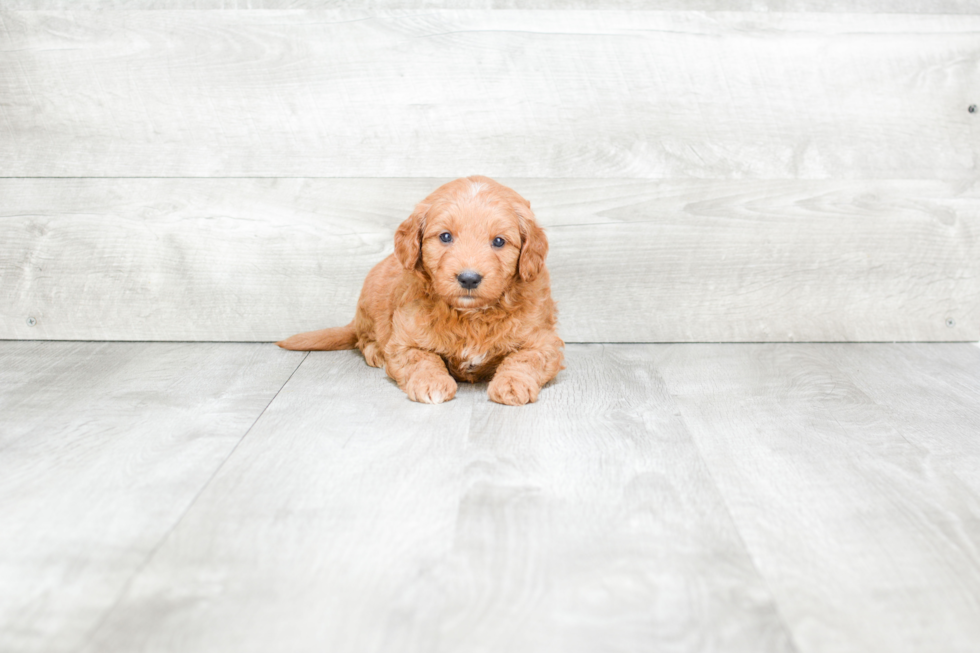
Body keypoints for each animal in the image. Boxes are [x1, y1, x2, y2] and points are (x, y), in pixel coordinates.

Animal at [280, 176, 564, 404]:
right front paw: (432, 383)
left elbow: (523, 359)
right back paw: (376, 352)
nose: (469, 278)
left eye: (499, 241)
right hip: (370, 301)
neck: (470, 316)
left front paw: (512, 383)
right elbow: (423, 360)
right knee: (364, 339)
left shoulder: (543, 341)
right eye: (445, 236)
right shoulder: (406, 341)